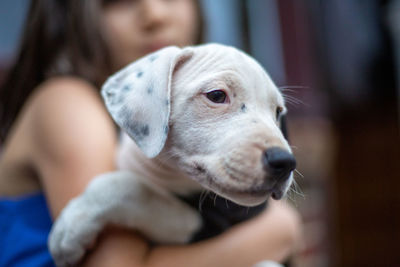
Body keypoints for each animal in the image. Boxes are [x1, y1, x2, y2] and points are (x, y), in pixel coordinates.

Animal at [48, 44, 296, 267]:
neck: (165, 172)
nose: (285, 162)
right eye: (217, 95)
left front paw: (71, 226)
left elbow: (133, 189)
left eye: (277, 112)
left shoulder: (208, 222)